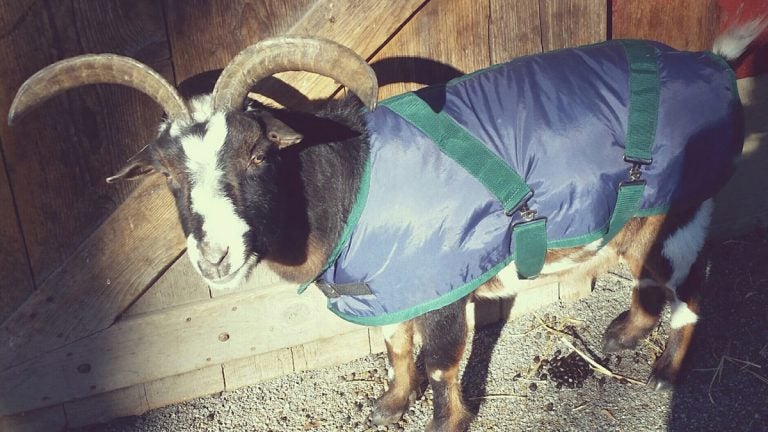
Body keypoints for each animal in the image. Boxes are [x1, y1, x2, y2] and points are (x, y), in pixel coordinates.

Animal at [9, 24, 764, 432]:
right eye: (168, 173)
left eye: (257, 152)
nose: (215, 256)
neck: (352, 183)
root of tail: (715, 64)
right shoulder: (390, 287)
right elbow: (396, 348)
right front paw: (388, 405)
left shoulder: (442, 282)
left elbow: (440, 360)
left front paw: (444, 420)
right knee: (649, 274)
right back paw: (621, 334)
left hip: (683, 208)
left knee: (689, 285)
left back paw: (664, 373)